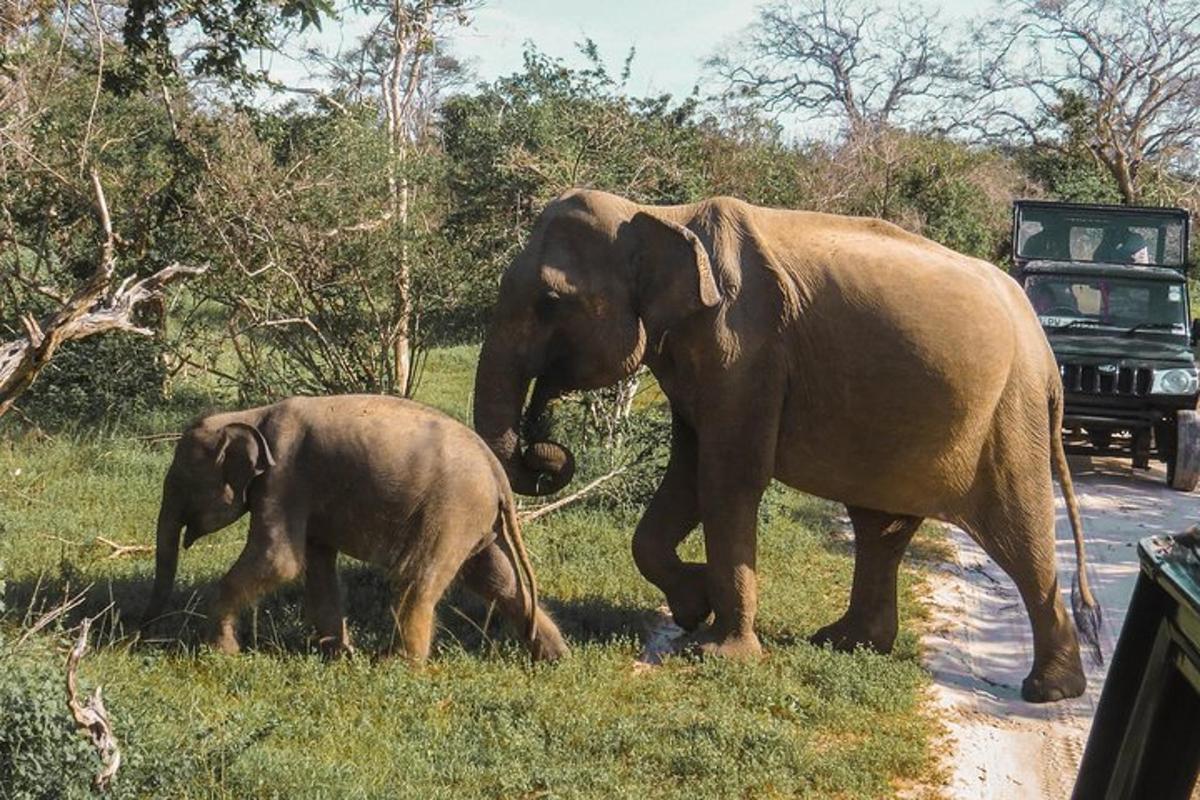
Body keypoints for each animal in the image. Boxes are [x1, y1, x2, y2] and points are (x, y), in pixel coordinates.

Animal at [140, 395, 566, 662]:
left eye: (179, 483)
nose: (141, 633)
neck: (251, 415)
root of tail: (498, 474)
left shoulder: (283, 479)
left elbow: (278, 561)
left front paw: (221, 653)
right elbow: (315, 566)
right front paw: (337, 654)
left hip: (451, 510)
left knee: (418, 577)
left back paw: (397, 665)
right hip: (474, 520)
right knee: (497, 580)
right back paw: (554, 656)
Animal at [472, 189, 1099, 700]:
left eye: (550, 302)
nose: (545, 447)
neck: (661, 214)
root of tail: (1046, 355)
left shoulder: (745, 349)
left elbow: (727, 479)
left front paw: (719, 653)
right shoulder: (705, 357)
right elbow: (688, 473)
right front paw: (693, 607)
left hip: (1009, 416)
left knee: (1018, 536)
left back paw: (1049, 691)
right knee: (881, 529)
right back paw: (845, 642)